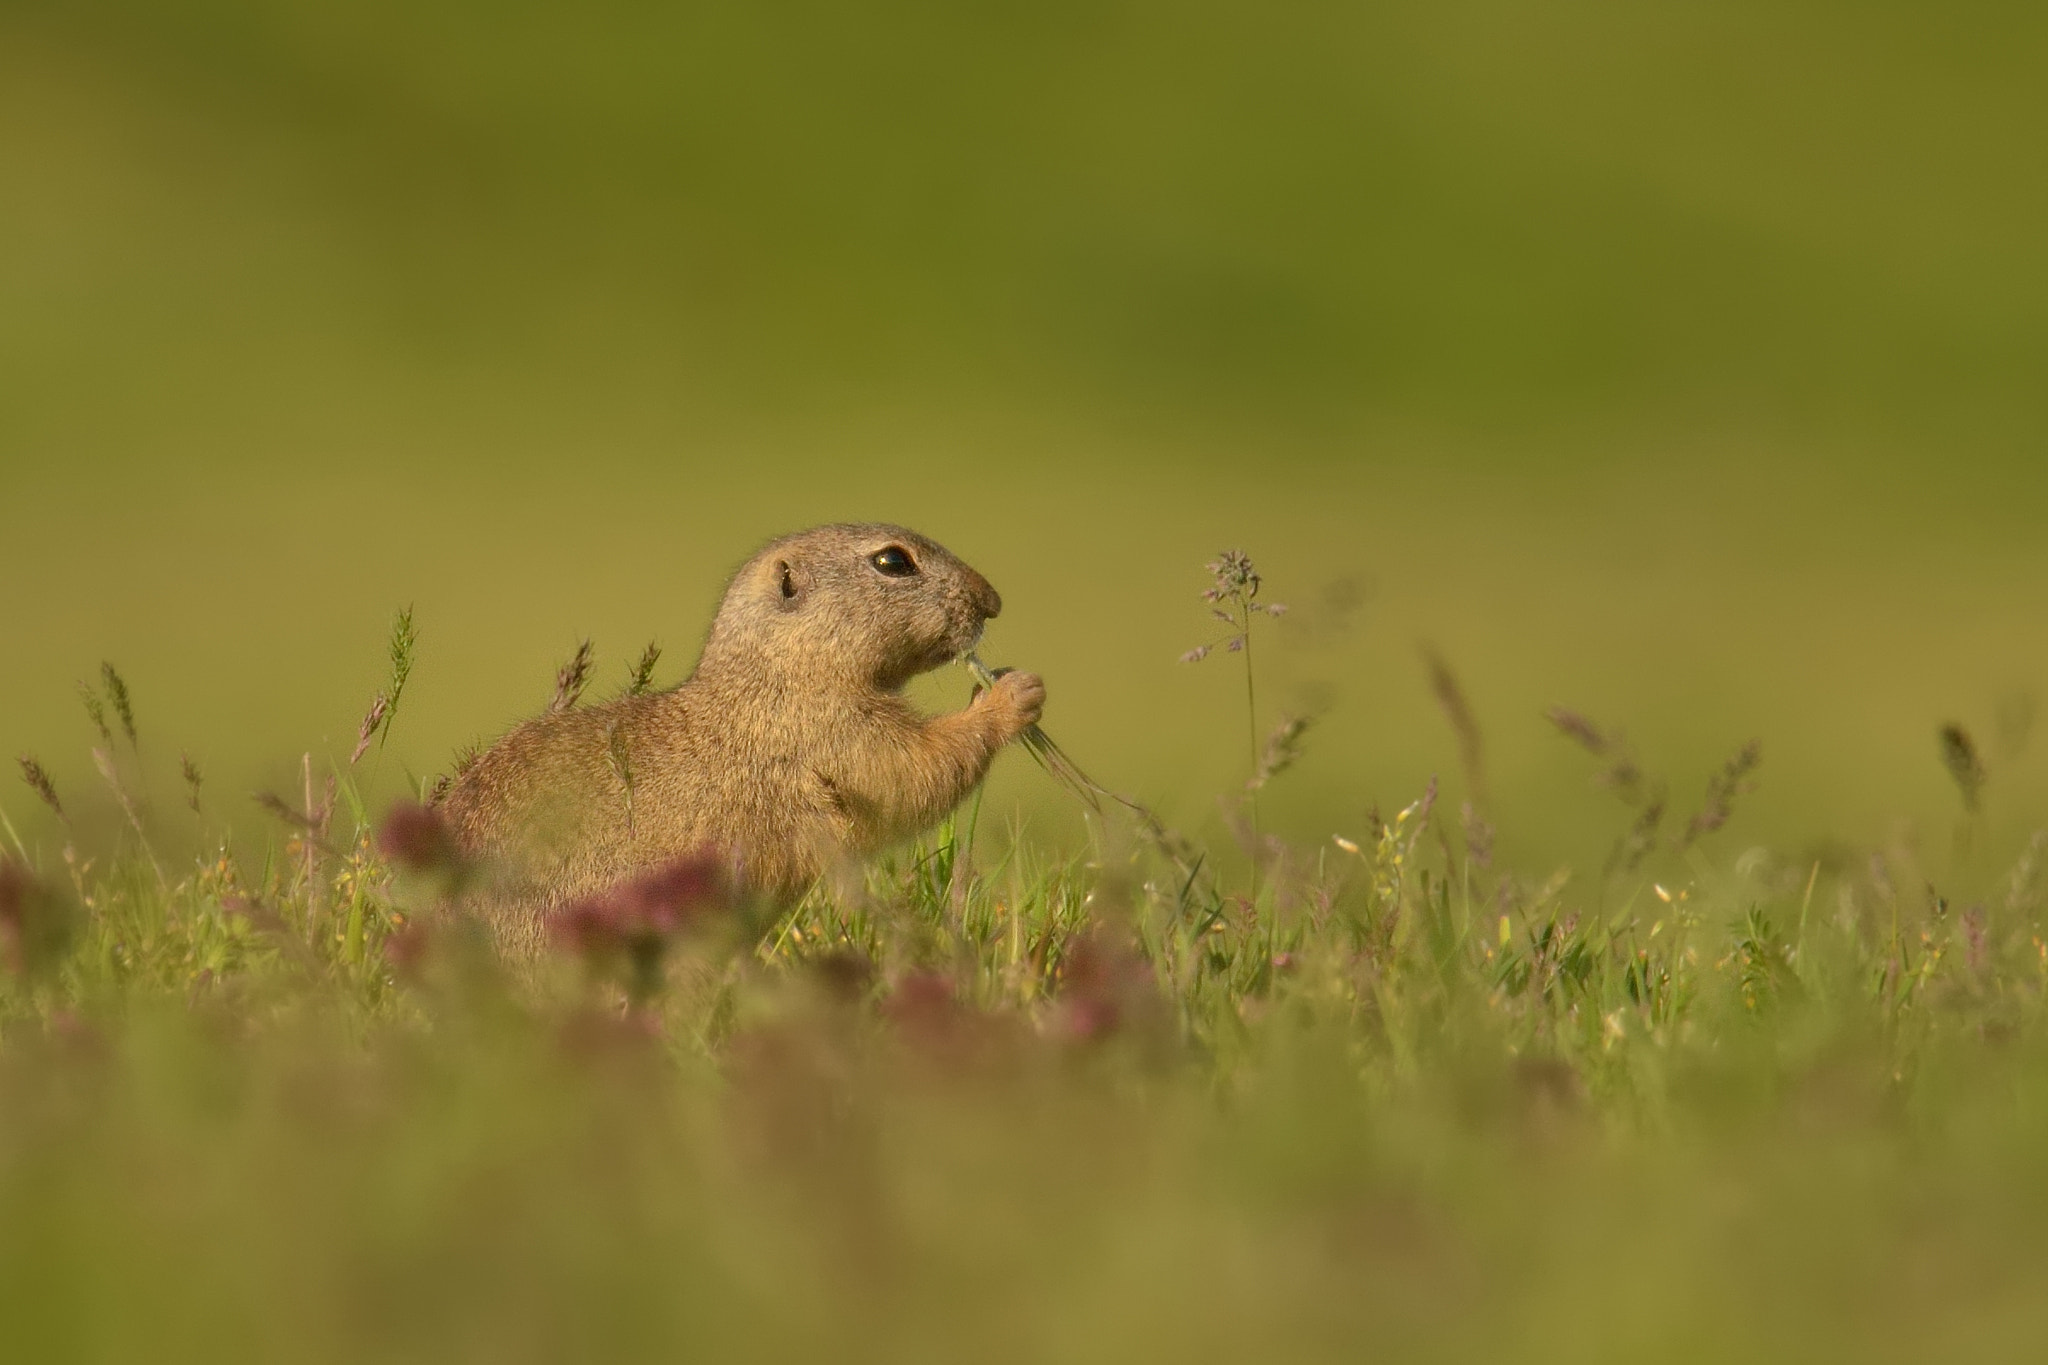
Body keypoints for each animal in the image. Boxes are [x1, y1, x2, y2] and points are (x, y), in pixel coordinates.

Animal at [434, 523, 1040, 961]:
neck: (774, 670)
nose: (993, 601)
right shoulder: (829, 726)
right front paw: (1014, 693)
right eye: (893, 561)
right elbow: (908, 772)